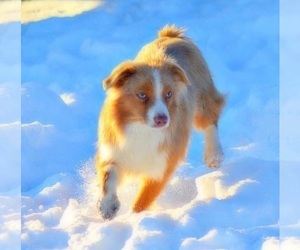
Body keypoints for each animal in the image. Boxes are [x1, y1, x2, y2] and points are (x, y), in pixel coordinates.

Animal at [95, 25, 224, 220]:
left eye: (168, 94)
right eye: (142, 95)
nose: (162, 119)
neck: (142, 129)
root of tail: (170, 35)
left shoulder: (162, 165)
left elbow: (142, 201)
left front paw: (133, 219)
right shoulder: (114, 149)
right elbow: (108, 175)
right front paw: (108, 205)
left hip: (202, 97)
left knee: (211, 118)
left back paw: (213, 155)